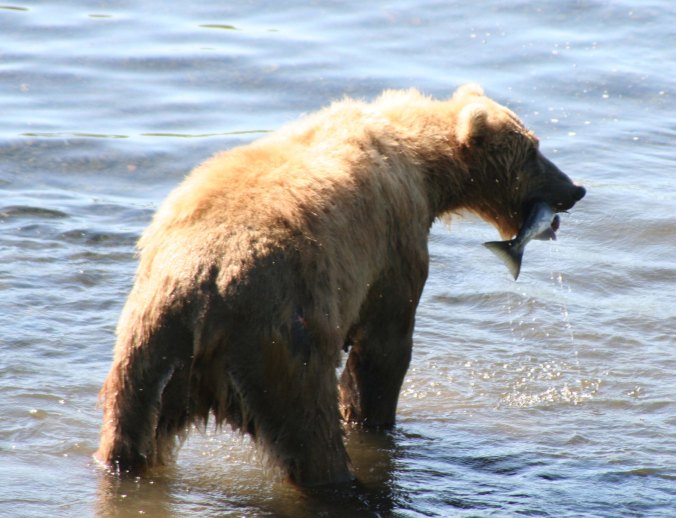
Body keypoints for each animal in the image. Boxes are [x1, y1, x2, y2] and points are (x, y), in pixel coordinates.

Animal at [95, 84, 585, 486]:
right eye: (533, 150)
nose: (575, 188)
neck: (423, 163)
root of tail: (204, 298)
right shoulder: (393, 241)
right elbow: (384, 347)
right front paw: (373, 417)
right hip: (281, 344)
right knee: (313, 435)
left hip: (148, 352)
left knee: (125, 438)